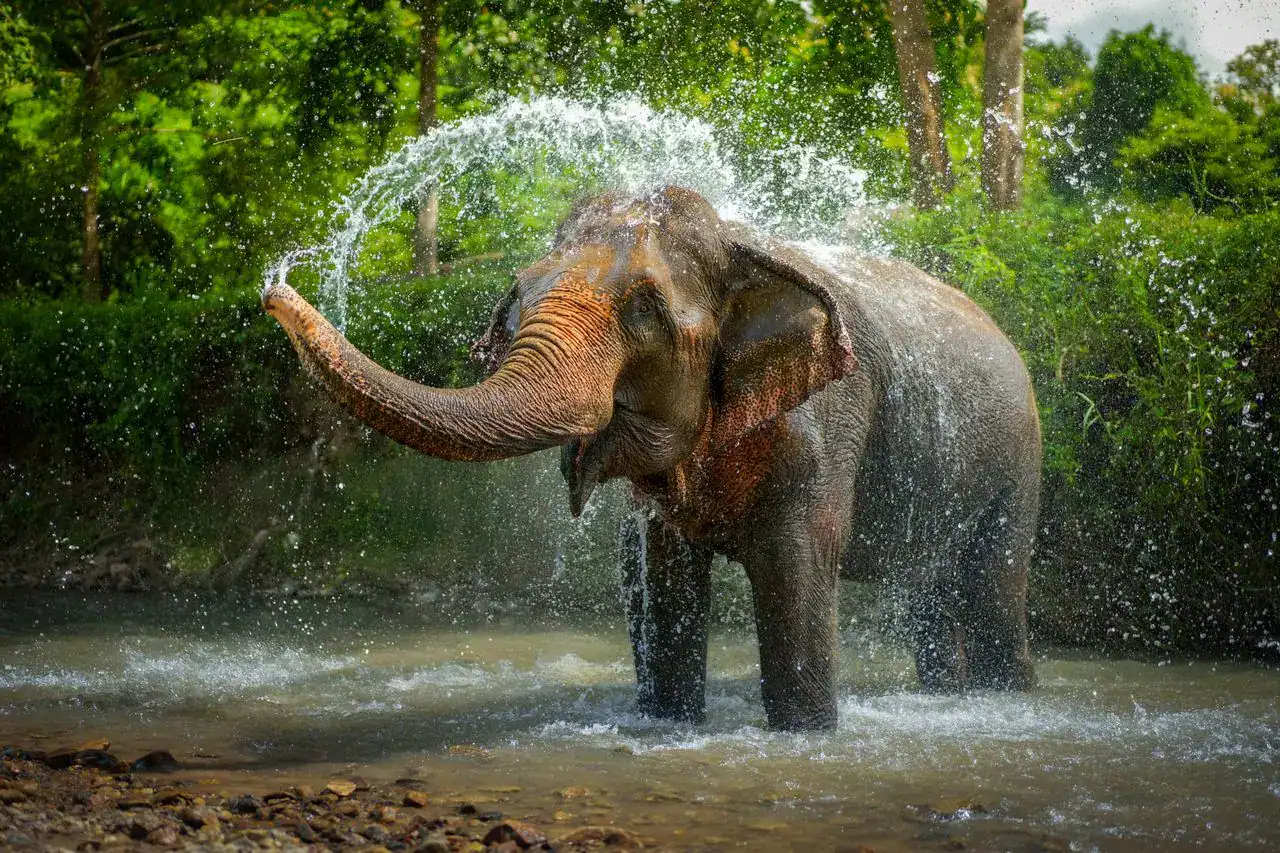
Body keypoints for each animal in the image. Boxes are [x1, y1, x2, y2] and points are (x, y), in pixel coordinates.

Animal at [263, 185, 1041, 732]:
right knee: (931, 590)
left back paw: (1007, 698)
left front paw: (808, 731)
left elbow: (796, 560)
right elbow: (664, 569)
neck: (738, 243)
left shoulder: (828, 420)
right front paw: (669, 722)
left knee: (995, 582)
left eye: (644, 311)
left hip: (1019, 460)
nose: (274, 284)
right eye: (517, 294)